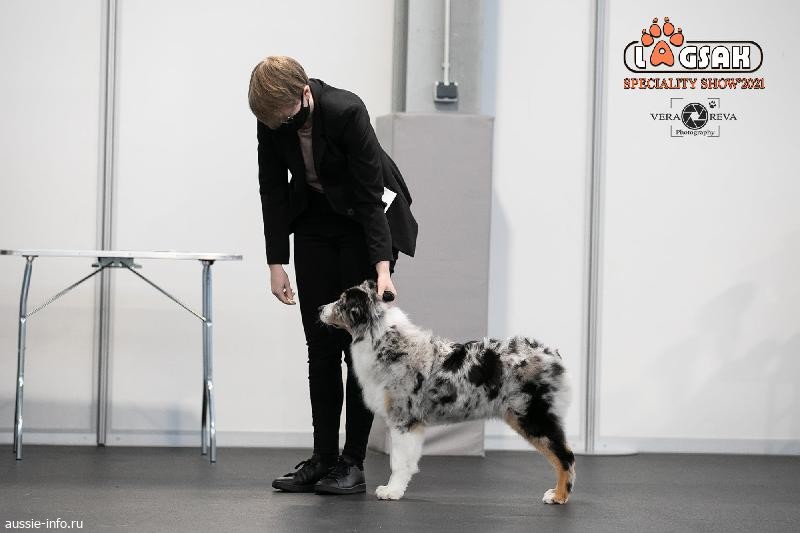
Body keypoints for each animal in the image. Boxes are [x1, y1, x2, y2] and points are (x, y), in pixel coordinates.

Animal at [318, 279, 576, 503]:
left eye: (341, 301)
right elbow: (408, 461)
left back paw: (558, 496)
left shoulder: (403, 419)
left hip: (531, 416)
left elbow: (398, 462)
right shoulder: (413, 425)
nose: (319, 308)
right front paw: (398, 487)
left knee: (566, 456)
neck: (380, 338)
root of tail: (552, 354)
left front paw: (391, 491)